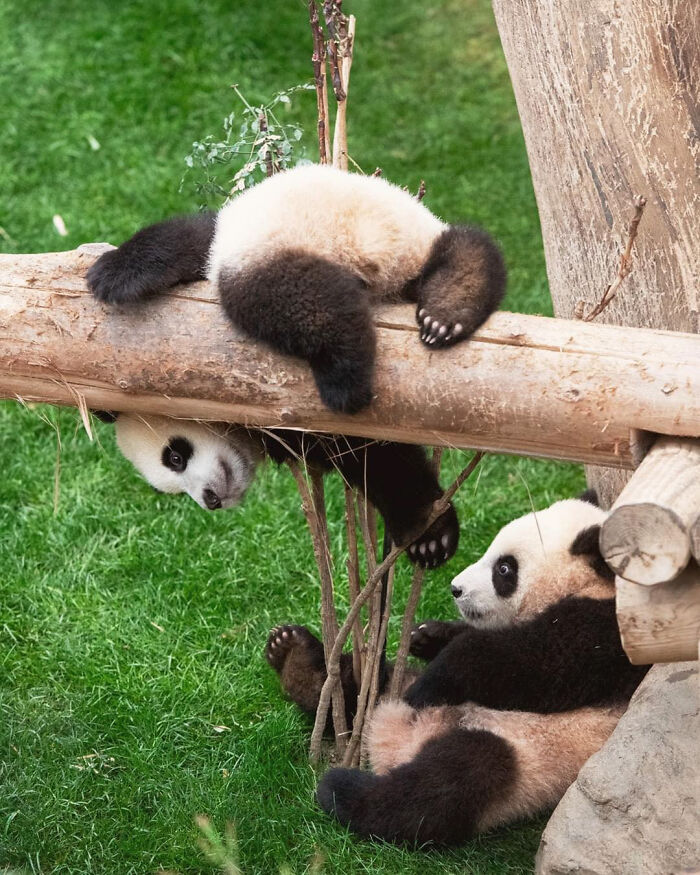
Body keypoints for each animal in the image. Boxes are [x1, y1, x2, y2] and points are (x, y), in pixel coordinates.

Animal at [264, 493, 651, 845]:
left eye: (504, 569)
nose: (455, 588)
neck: (597, 584)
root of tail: (394, 742)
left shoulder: (610, 632)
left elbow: (531, 665)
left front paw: (433, 679)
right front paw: (427, 636)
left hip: (526, 755)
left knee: (448, 783)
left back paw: (343, 789)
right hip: (393, 685)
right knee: (365, 686)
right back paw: (294, 660)